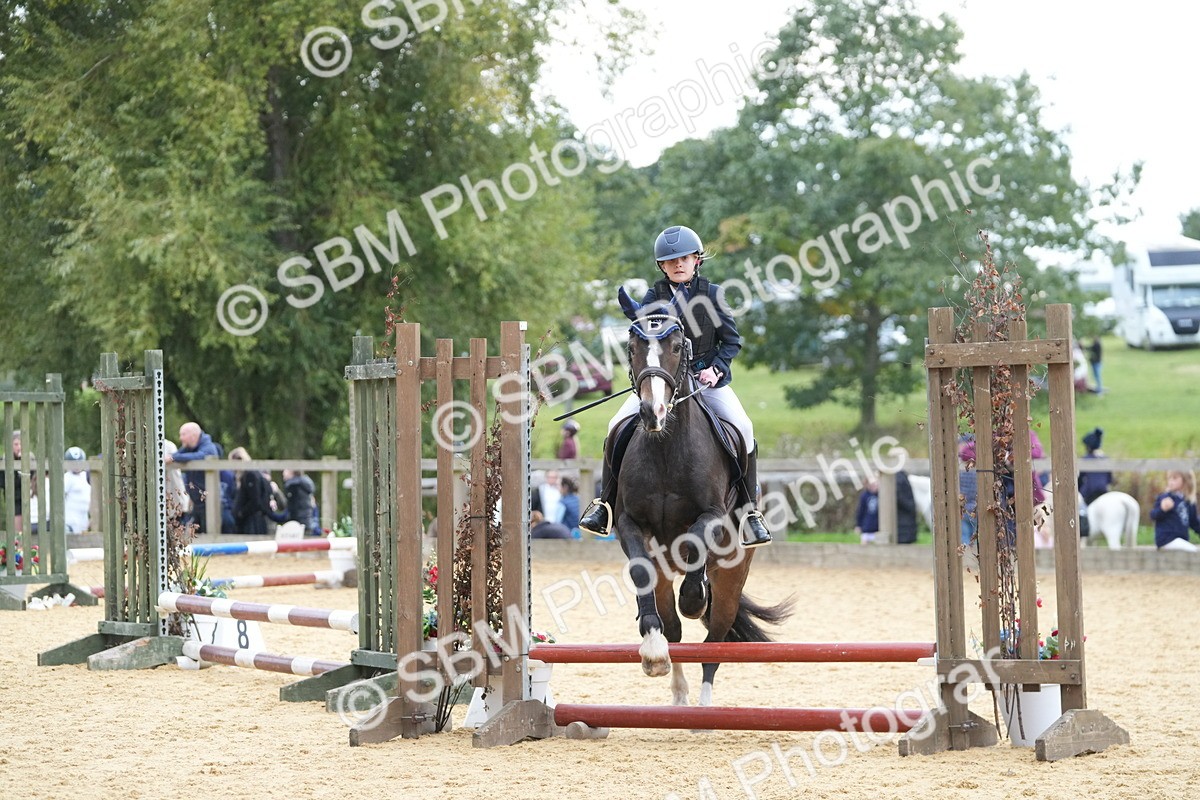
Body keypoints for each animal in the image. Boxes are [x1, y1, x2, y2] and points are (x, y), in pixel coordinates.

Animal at [612, 288, 792, 707]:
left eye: (678, 346)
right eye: (632, 347)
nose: (653, 412)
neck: (666, 447)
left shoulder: (712, 516)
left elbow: (695, 550)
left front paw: (696, 598)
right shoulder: (631, 524)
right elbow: (643, 576)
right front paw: (652, 652)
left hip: (733, 575)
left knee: (716, 639)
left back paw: (704, 704)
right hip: (665, 573)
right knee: (674, 628)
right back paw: (678, 693)